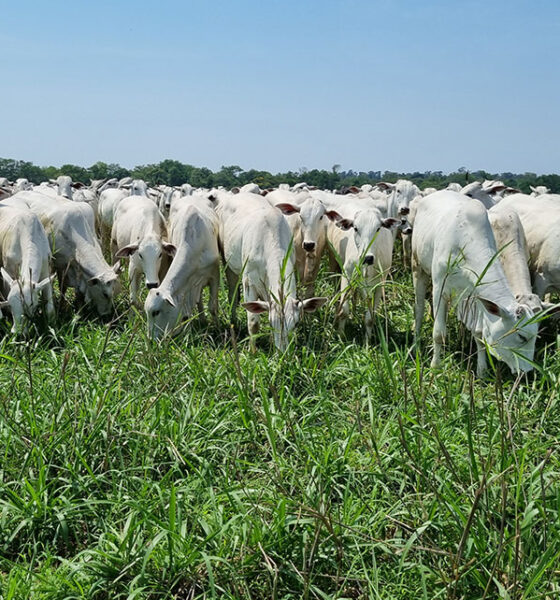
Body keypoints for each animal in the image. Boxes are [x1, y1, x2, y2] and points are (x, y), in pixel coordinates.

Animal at [215, 192, 328, 352]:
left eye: (296, 324)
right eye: (271, 323)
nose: (284, 353)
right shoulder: (249, 283)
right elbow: (253, 322)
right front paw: (253, 352)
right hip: (228, 263)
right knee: (232, 294)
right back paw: (234, 321)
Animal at [412, 192, 540, 378]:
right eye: (522, 337)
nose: (528, 372)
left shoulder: (476, 297)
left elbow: (479, 333)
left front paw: (482, 371)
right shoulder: (440, 289)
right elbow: (438, 333)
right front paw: (435, 366)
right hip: (418, 266)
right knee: (419, 307)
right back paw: (416, 338)